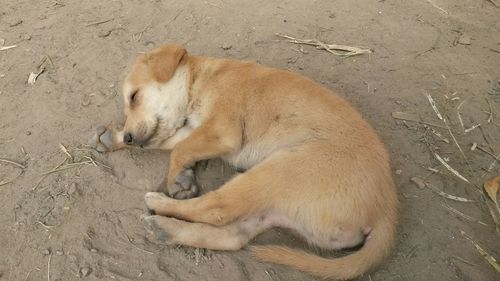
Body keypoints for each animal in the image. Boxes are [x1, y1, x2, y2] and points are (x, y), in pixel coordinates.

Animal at [91, 44, 398, 278]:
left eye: (134, 96)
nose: (129, 137)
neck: (203, 77)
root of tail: (386, 212)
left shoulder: (222, 132)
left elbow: (178, 149)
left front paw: (177, 178)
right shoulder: (198, 131)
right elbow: (169, 141)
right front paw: (113, 139)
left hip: (277, 170)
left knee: (216, 209)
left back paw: (160, 203)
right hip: (272, 204)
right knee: (234, 235)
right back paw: (166, 229)